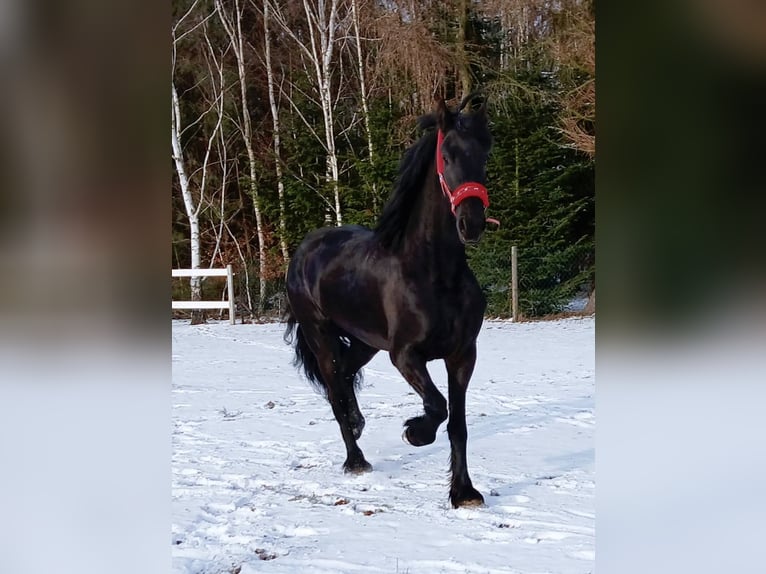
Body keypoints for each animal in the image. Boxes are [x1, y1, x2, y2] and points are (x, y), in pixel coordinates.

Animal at [284, 97, 496, 510]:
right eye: (447, 156)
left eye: (484, 155)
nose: (472, 223)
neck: (433, 275)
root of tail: (304, 250)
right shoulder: (406, 355)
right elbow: (438, 406)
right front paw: (414, 433)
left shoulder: (463, 354)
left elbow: (458, 424)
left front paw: (464, 492)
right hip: (321, 338)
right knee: (334, 391)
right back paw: (355, 460)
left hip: (364, 342)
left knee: (346, 378)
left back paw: (358, 423)